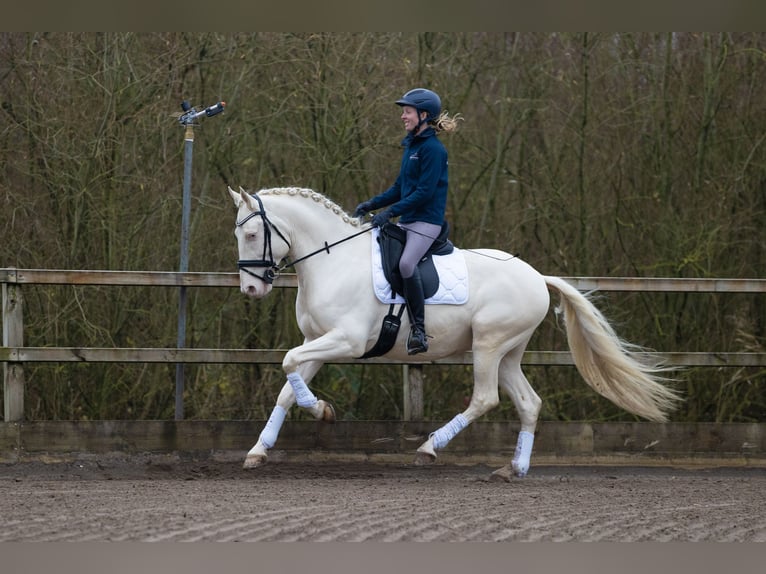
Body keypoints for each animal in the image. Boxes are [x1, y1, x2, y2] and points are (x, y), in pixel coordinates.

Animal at [230, 187, 684, 480]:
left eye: (251, 234)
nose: (250, 290)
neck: (332, 260)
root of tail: (538, 277)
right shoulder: (317, 343)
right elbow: (287, 387)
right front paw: (258, 451)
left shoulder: (346, 341)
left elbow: (288, 363)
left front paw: (322, 410)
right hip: (507, 353)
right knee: (528, 402)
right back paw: (514, 469)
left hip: (488, 345)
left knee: (485, 399)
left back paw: (429, 448)